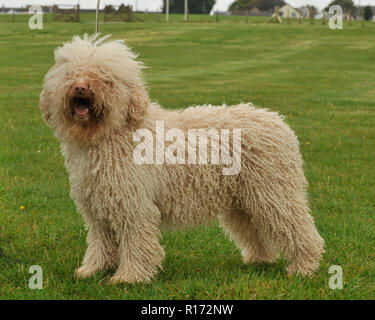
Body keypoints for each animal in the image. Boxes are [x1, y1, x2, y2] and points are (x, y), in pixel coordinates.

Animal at [39, 34, 324, 282]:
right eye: (70, 74)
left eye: (104, 78)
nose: (80, 87)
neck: (111, 134)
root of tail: (278, 122)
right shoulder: (97, 206)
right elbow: (100, 242)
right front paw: (92, 270)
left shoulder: (134, 204)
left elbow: (136, 241)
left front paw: (129, 277)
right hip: (242, 200)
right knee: (254, 230)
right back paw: (258, 260)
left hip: (273, 192)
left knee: (298, 227)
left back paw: (304, 267)